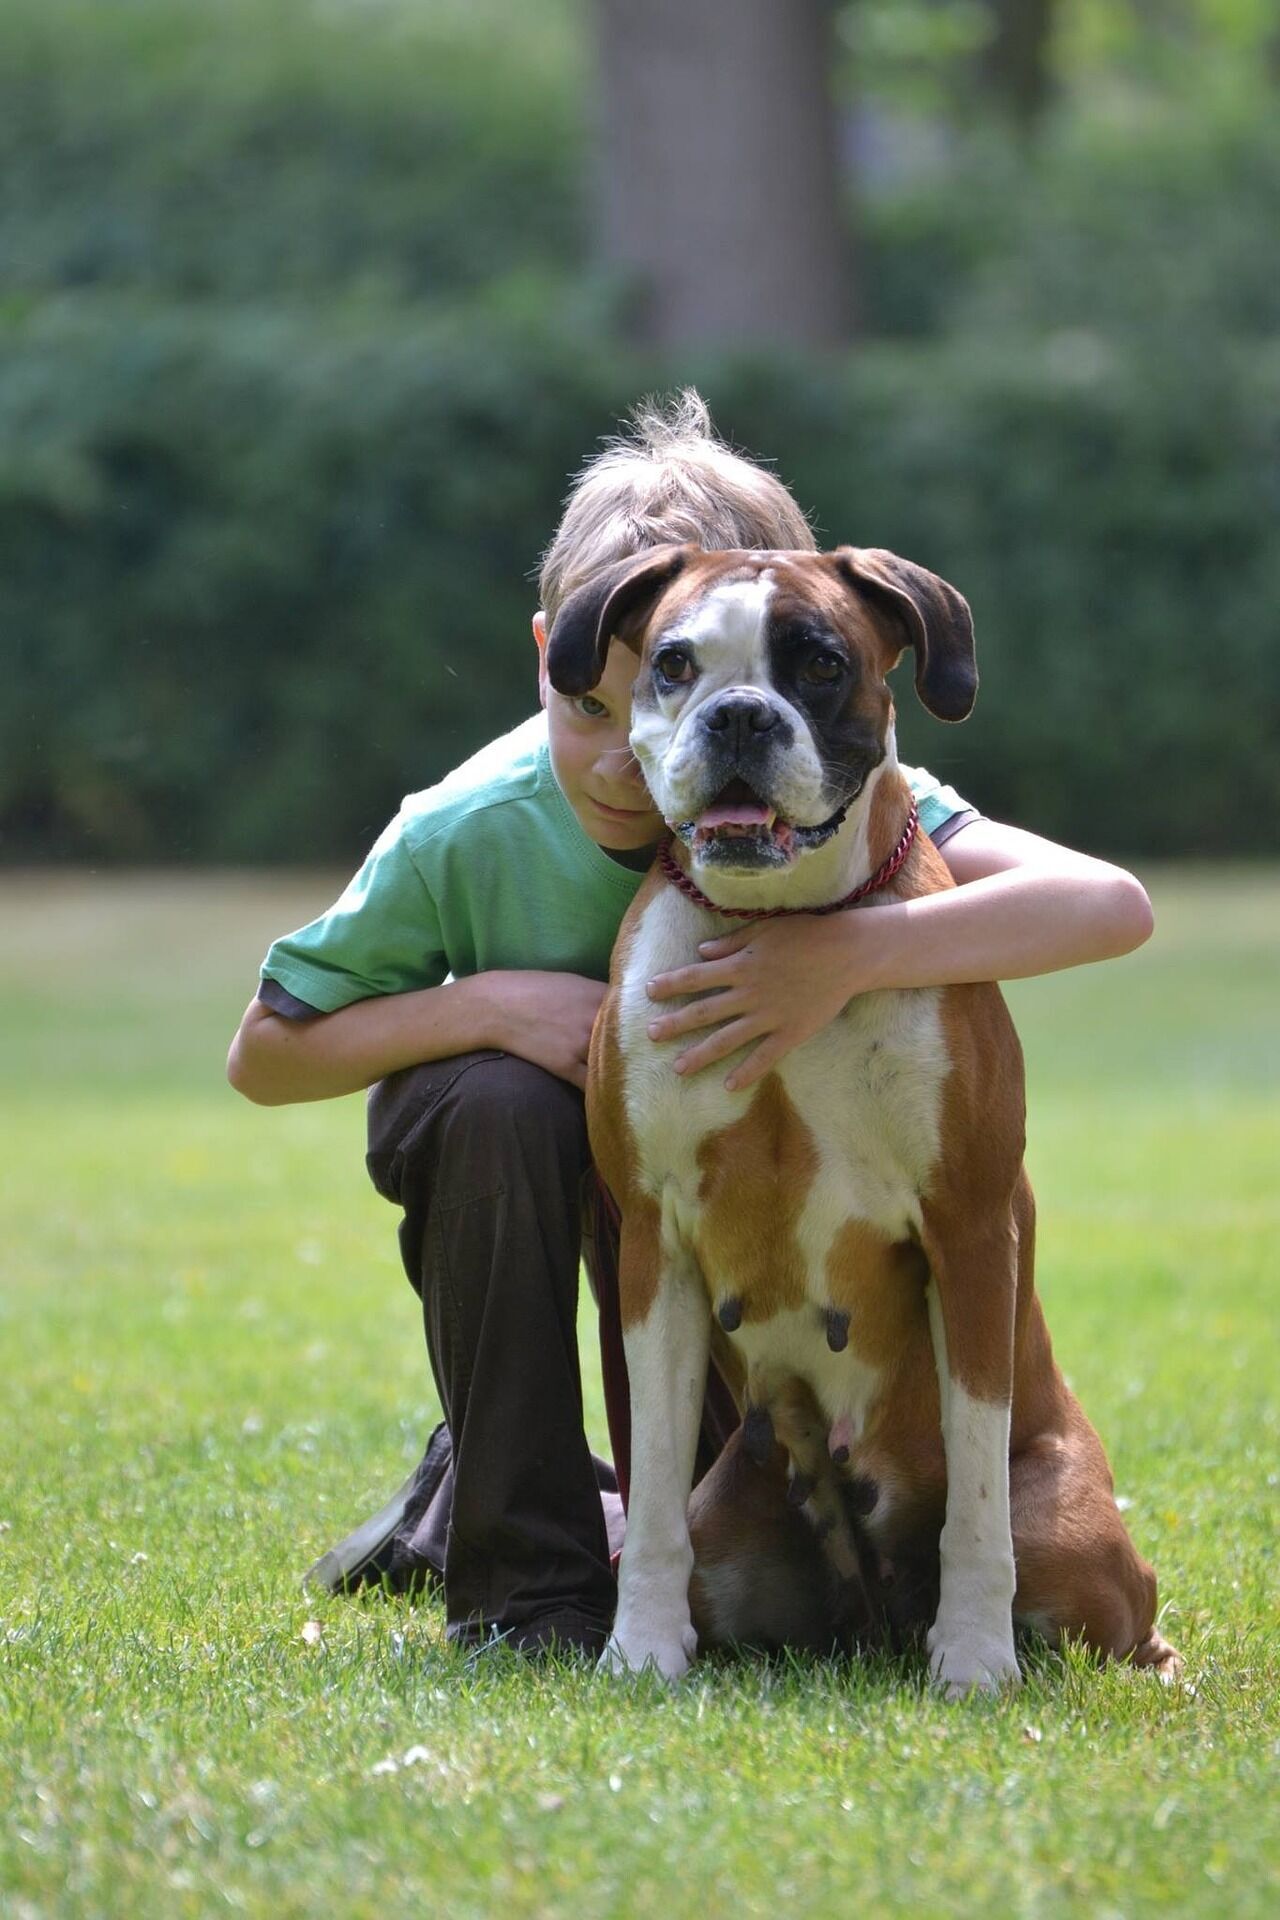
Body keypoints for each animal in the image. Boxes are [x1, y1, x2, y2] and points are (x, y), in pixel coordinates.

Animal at [545, 545, 1174, 1697]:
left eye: (821, 663)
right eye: (672, 661)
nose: (740, 716)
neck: (779, 926)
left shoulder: (969, 1229)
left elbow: (976, 1497)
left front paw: (973, 1658)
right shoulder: (655, 1245)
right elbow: (650, 1492)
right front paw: (641, 1647)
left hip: (1075, 1541)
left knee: (1107, 1612)